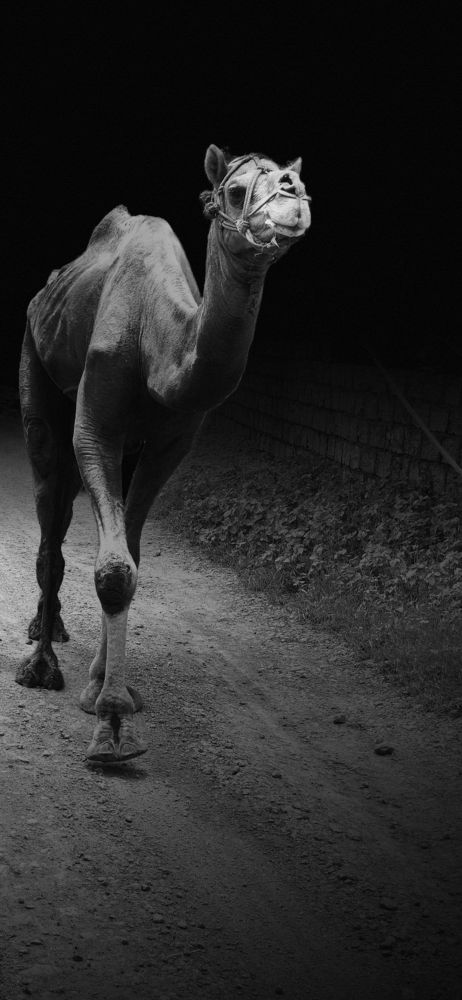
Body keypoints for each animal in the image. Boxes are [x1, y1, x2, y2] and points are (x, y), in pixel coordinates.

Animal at [17, 144, 311, 762]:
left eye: (292, 177)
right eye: (235, 191)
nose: (292, 194)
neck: (160, 348)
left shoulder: (173, 443)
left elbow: (128, 554)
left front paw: (106, 689)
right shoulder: (96, 427)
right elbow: (111, 569)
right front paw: (109, 724)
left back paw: (54, 634)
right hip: (34, 360)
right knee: (50, 515)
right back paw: (40, 658)